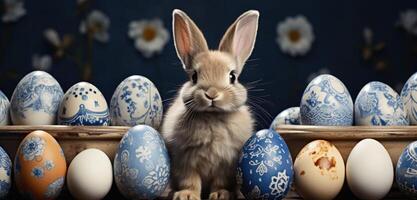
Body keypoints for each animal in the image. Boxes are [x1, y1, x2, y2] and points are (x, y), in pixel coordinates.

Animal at [161, 9, 258, 200]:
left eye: (232, 77)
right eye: (194, 77)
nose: (212, 94)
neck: (212, 116)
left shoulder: (226, 163)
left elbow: (220, 181)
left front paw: (221, 195)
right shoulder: (184, 160)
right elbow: (190, 180)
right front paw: (187, 195)